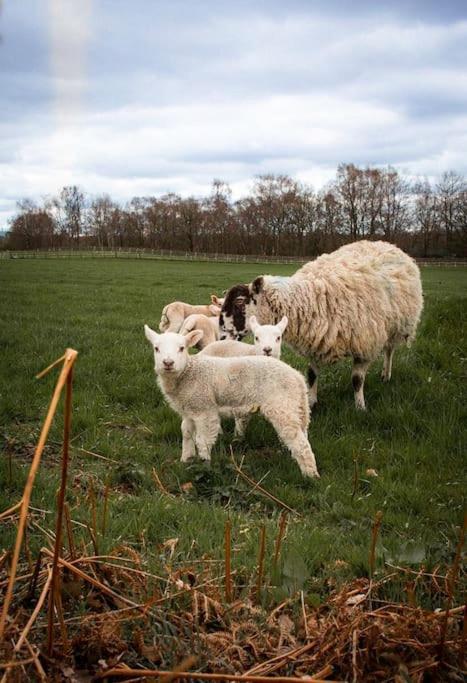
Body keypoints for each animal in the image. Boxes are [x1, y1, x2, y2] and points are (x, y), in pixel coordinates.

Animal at [144, 328, 320, 480]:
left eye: (182, 348)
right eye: (156, 348)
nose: (168, 363)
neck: (188, 373)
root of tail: (297, 377)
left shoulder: (204, 408)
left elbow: (202, 440)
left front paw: (205, 465)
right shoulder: (189, 409)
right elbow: (186, 432)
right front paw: (186, 459)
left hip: (281, 405)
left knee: (299, 442)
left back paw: (311, 476)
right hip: (295, 405)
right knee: (302, 434)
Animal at [219, 242, 424, 412]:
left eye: (239, 302)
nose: (221, 337)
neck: (309, 298)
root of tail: (389, 244)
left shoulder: (364, 344)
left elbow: (357, 380)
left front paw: (360, 407)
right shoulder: (316, 341)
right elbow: (311, 375)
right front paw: (311, 402)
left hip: (396, 328)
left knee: (389, 351)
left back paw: (386, 374)